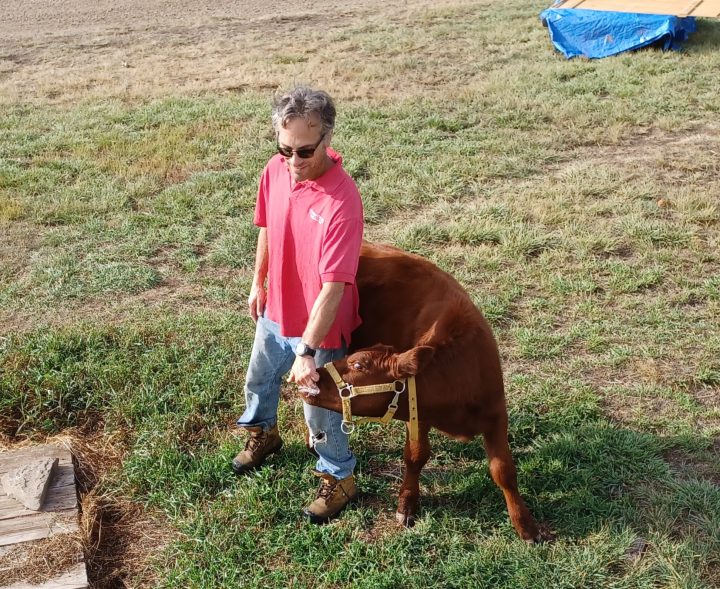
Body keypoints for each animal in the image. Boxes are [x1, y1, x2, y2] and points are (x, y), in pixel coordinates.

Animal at [300, 241, 542, 543]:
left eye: (358, 364)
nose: (314, 377)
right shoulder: (418, 415)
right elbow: (415, 456)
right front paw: (406, 505)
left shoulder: (497, 413)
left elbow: (504, 470)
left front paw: (525, 525)